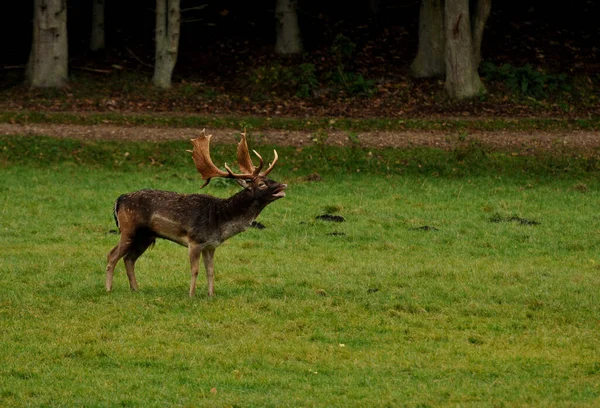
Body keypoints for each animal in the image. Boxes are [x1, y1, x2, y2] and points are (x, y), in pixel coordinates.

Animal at [104, 131, 288, 296]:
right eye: (262, 183)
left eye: (270, 179)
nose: (283, 185)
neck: (220, 221)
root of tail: (119, 200)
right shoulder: (195, 241)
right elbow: (195, 270)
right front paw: (191, 295)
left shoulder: (211, 245)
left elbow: (211, 271)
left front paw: (211, 295)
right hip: (129, 229)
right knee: (112, 255)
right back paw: (108, 289)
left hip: (146, 236)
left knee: (129, 259)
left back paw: (135, 289)